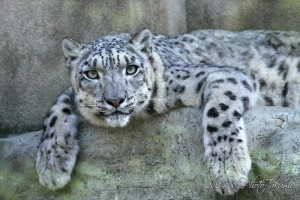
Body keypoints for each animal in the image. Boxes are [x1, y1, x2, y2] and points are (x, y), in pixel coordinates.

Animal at [36, 28, 300, 195]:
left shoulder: (222, 74)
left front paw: (227, 168)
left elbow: (219, 112)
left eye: (131, 69)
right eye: (91, 74)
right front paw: (51, 164)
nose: (115, 100)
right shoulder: (70, 98)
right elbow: (57, 108)